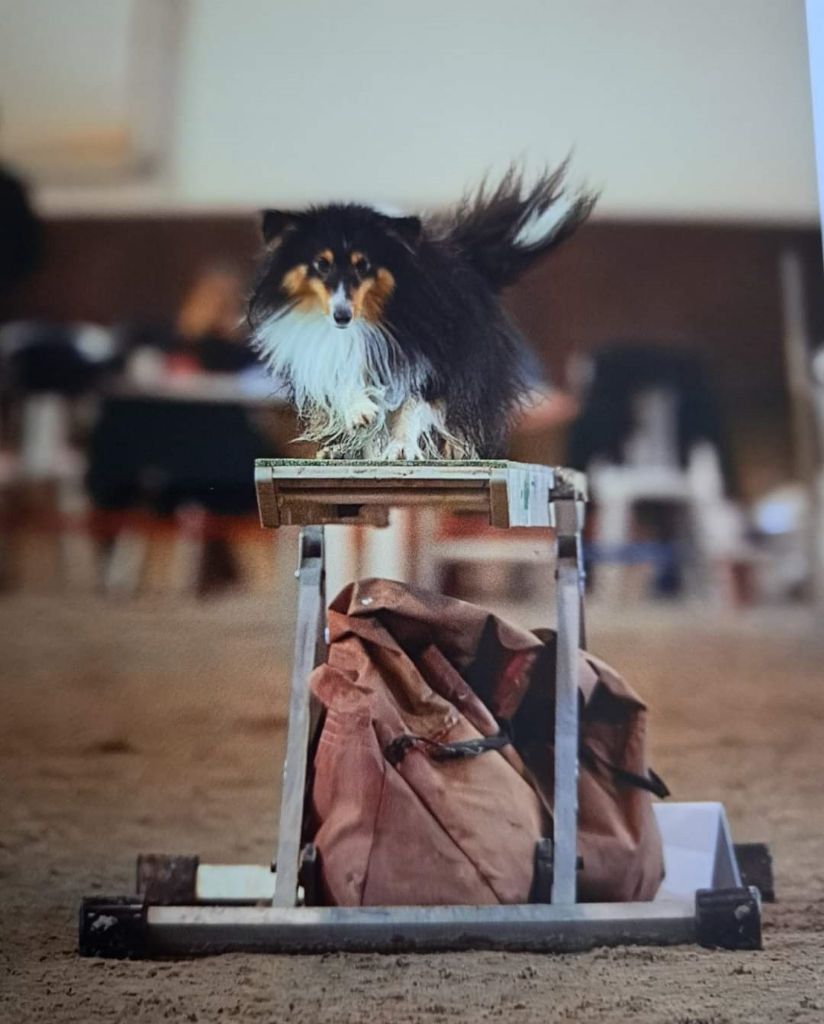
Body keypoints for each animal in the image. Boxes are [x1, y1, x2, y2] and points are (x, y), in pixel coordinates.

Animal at [248, 165, 595, 460]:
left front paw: (402, 447)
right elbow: (343, 383)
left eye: (364, 266)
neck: (370, 321)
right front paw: (360, 412)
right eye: (321, 264)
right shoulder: (321, 350)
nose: (341, 316)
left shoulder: (429, 361)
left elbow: (412, 407)